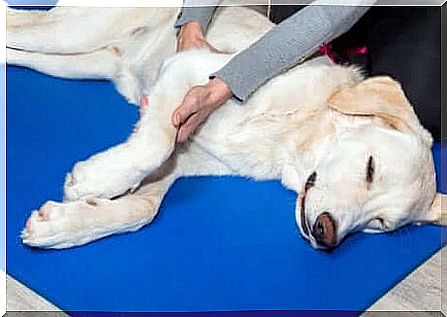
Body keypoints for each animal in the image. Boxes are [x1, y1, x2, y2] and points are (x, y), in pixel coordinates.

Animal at [7, 3, 447, 248]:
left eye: (380, 225)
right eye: (371, 168)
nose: (327, 233)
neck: (289, 136)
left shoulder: (180, 162)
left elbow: (143, 209)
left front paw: (62, 225)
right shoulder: (189, 71)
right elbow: (154, 144)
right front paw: (96, 180)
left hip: (78, 61)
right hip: (68, 33)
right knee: (12, 21)